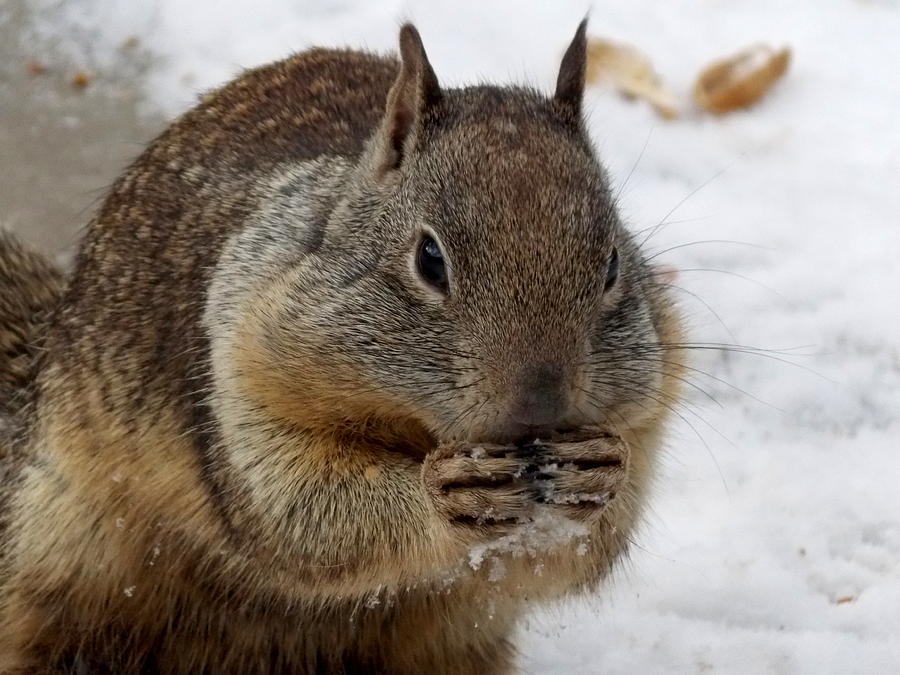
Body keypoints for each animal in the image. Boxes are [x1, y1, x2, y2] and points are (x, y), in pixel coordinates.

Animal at [0, 21, 684, 675]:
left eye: (614, 265)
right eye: (429, 259)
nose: (541, 406)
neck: (417, 429)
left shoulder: (651, 404)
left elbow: (575, 556)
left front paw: (599, 473)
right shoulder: (243, 363)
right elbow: (301, 506)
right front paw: (445, 494)